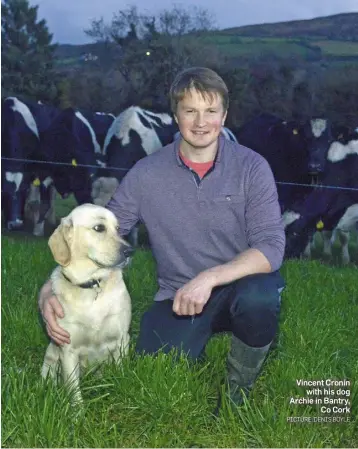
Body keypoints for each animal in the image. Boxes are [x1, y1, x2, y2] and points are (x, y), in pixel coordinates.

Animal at [41, 203, 133, 402]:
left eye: (118, 229)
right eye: (99, 228)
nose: (131, 251)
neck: (92, 285)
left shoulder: (122, 340)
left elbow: (122, 374)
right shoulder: (67, 350)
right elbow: (74, 390)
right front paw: (77, 410)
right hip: (51, 354)